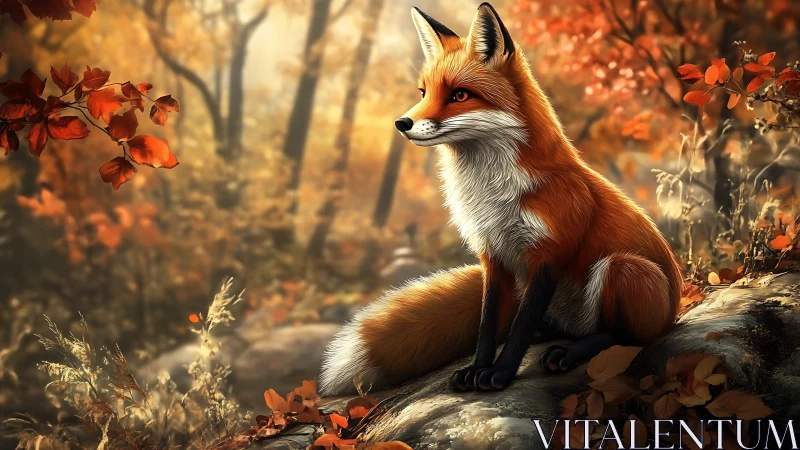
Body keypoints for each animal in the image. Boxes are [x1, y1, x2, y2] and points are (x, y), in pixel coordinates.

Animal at [319, 2, 682, 396]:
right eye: (423, 92)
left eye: (459, 95)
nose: (402, 123)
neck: (492, 195)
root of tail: (676, 304)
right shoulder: (492, 254)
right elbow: (488, 324)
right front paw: (477, 369)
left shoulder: (548, 253)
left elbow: (520, 325)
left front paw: (501, 373)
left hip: (625, 268)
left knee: (623, 336)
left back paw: (571, 351)